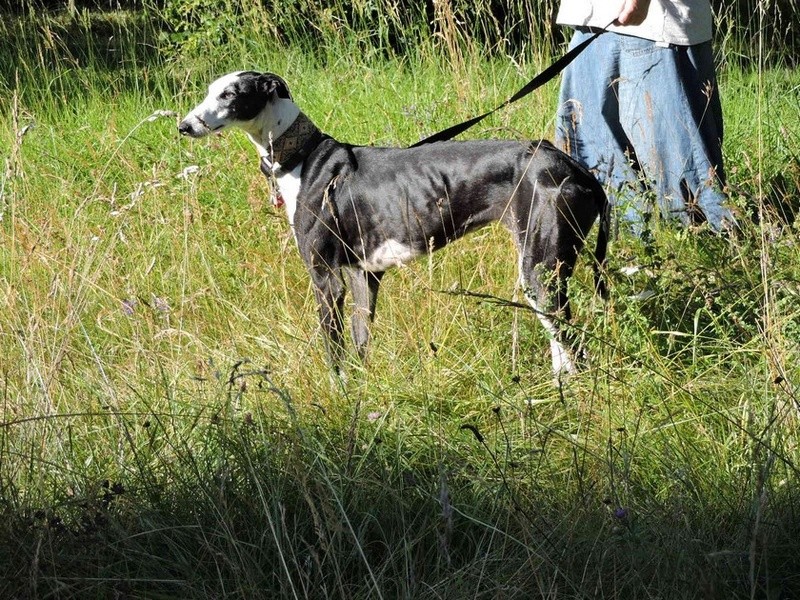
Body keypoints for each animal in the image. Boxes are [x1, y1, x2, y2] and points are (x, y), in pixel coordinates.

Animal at [178, 72, 608, 378]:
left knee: (577, 348)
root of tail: (577, 170)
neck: (302, 157)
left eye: (229, 94)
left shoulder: (326, 280)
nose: (184, 125)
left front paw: (338, 396)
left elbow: (335, 355)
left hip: (542, 272)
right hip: (540, 272)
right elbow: (360, 344)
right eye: (210, 90)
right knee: (562, 348)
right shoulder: (362, 276)